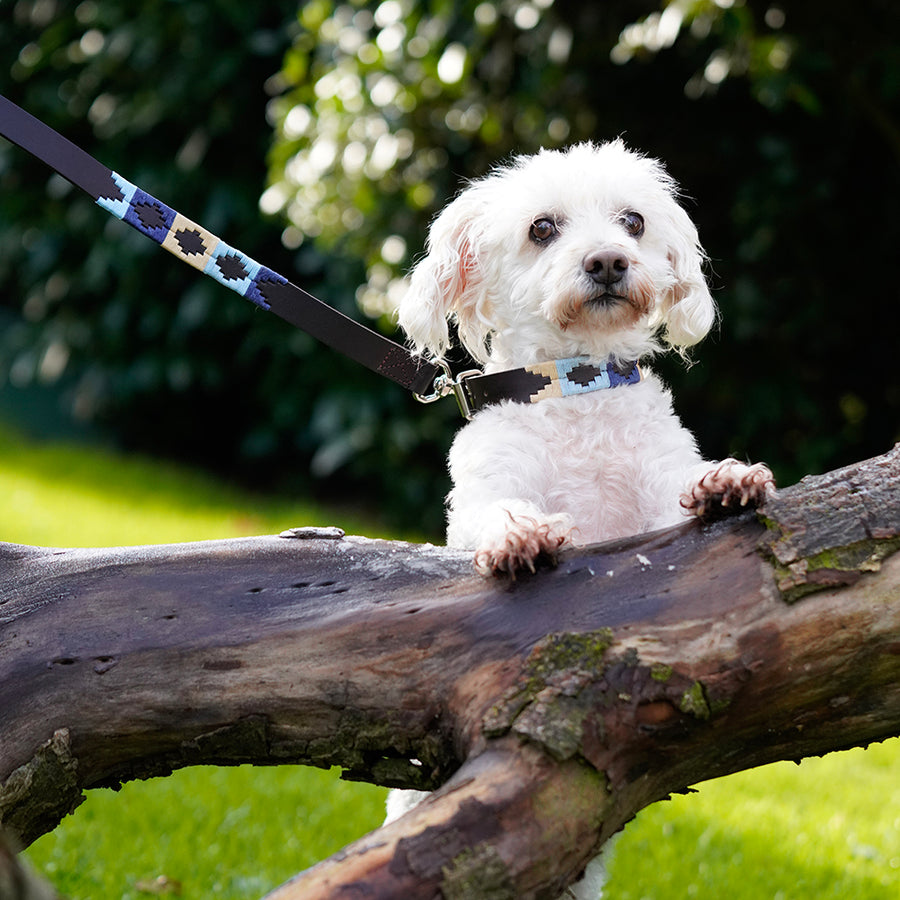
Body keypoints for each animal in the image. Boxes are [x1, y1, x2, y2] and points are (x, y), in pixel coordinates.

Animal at [386, 139, 772, 892]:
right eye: (542, 228)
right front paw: (519, 535)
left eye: (634, 223)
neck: (578, 385)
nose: (608, 262)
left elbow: (683, 484)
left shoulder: (655, 485)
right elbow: (495, 512)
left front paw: (725, 479)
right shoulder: (483, 490)